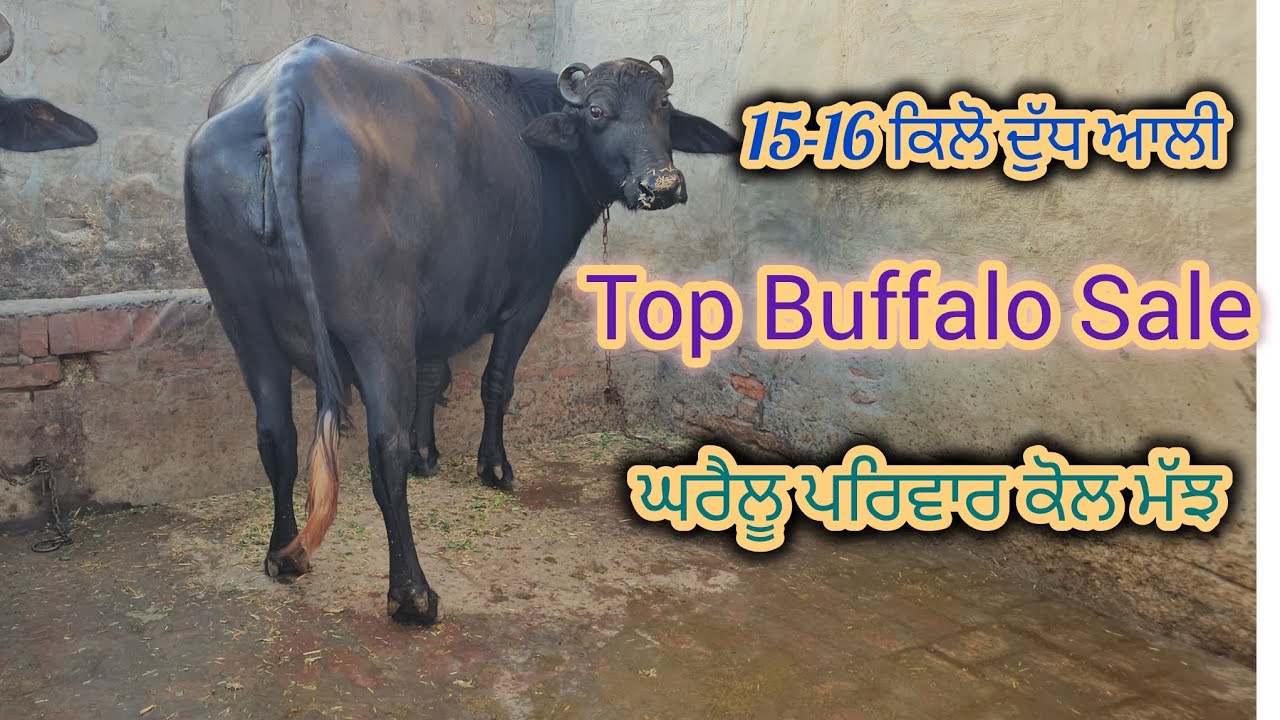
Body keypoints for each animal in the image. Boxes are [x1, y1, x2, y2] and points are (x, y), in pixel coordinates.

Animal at [184, 35, 736, 624]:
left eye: (662, 107)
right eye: (597, 111)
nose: (662, 185)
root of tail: (288, 90)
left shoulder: (439, 306)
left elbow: (434, 376)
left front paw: (428, 454)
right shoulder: (530, 296)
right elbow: (496, 382)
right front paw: (493, 467)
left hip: (244, 321)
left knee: (276, 434)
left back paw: (284, 554)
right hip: (377, 327)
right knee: (383, 447)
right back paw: (412, 594)